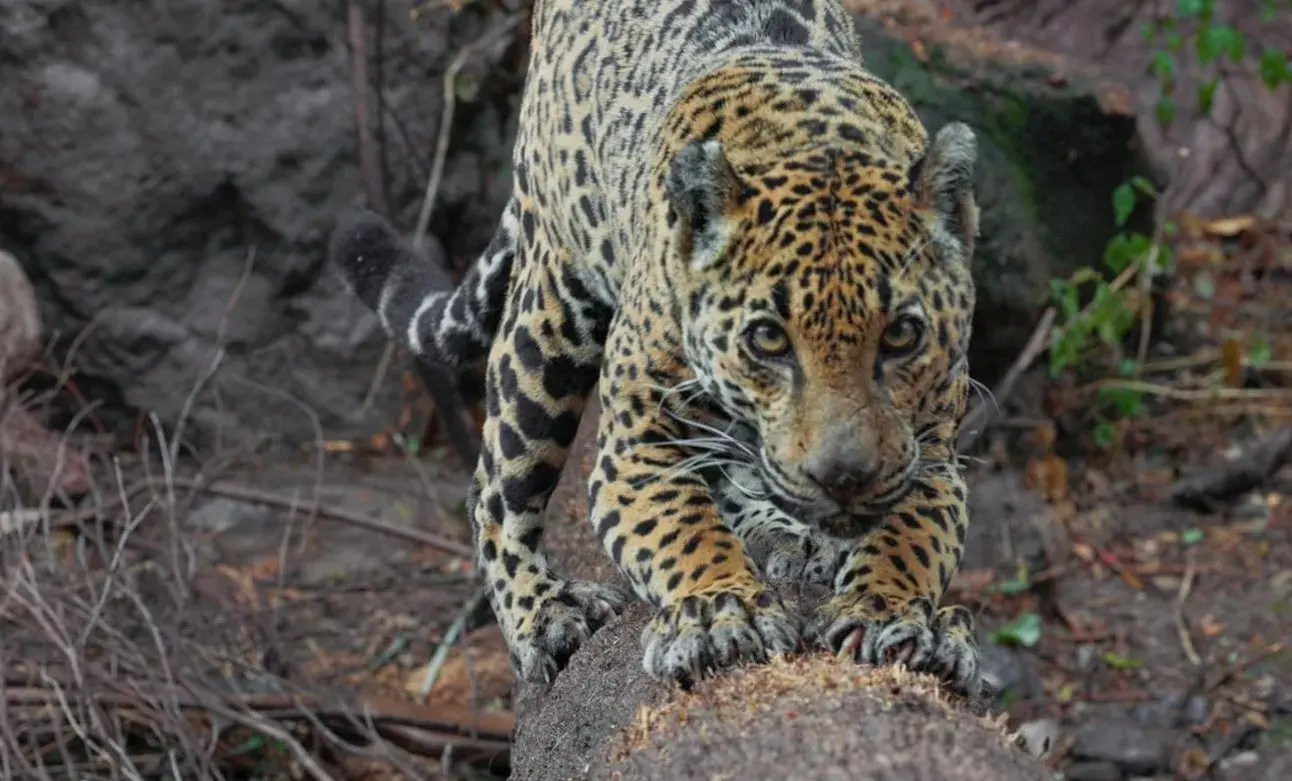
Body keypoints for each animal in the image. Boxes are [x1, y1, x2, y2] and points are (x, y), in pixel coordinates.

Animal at [330, 0, 985, 695]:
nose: (844, 478)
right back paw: (545, 614)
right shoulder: (638, 444)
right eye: (768, 340)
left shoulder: (932, 456)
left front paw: (894, 614)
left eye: (902, 335)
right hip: (549, 316)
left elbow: (910, 536)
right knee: (495, 488)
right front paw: (721, 613)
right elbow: (680, 527)